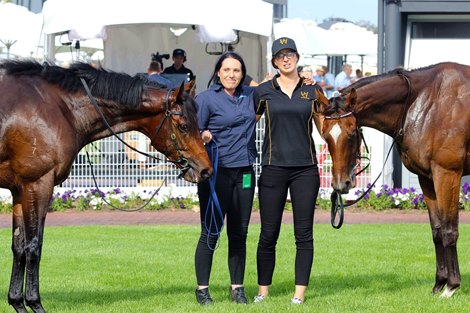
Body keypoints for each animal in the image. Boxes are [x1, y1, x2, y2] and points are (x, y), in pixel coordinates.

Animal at [0, 59, 213, 310]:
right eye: (183, 126)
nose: (206, 169)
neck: (57, 107)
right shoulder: (37, 185)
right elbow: (33, 246)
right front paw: (35, 303)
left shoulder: (19, 191)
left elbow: (19, 247)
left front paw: (17, 301)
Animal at [314, 61, 470, 298]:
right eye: (325, 135)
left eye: (351, 133)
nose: (341, 184)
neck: (426, 101)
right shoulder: (426, 178)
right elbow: (436, 230)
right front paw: (439, 284)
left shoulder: (447, 174)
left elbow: (449, 229)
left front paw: (451, 286)